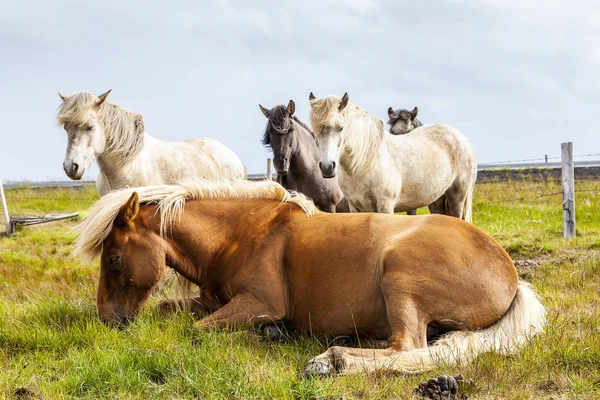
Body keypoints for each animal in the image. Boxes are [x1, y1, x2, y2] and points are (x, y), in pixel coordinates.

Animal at [75, 180, 544, 376]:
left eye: (113, 258)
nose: (108, 321)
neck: (240, 235)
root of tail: (511, 275)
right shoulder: (214, 299)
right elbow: (170, 309)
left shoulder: (259, 304)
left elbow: (197, 329)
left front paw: (269, 334)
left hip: (400, 276)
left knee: (408, 348)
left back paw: (332, 360)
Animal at [310, 92, 478, 222]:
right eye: (315, 129)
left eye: (341, 128)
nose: (327, 167)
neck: (365, 164)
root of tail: (463, 138)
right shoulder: (355, 207)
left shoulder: (386, 205)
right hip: (437, 200)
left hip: (458, 196)